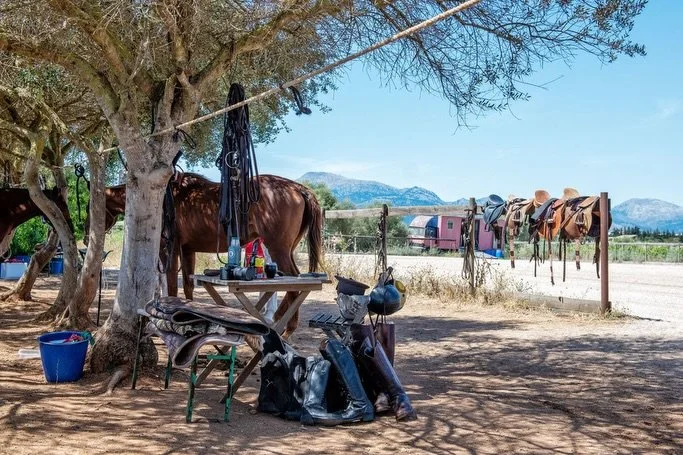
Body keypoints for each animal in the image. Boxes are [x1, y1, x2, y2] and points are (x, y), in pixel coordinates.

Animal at [84, 172, 323, 336]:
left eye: (92, 207)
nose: (87, 238)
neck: (166, 197)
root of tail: (297, 188)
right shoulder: (187, 250)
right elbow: (188, 285)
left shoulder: (169, 248)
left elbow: (171, 284)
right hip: (287, 249)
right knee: (295, 281)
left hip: (278, 248)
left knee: (294, 282)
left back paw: (284, 326)